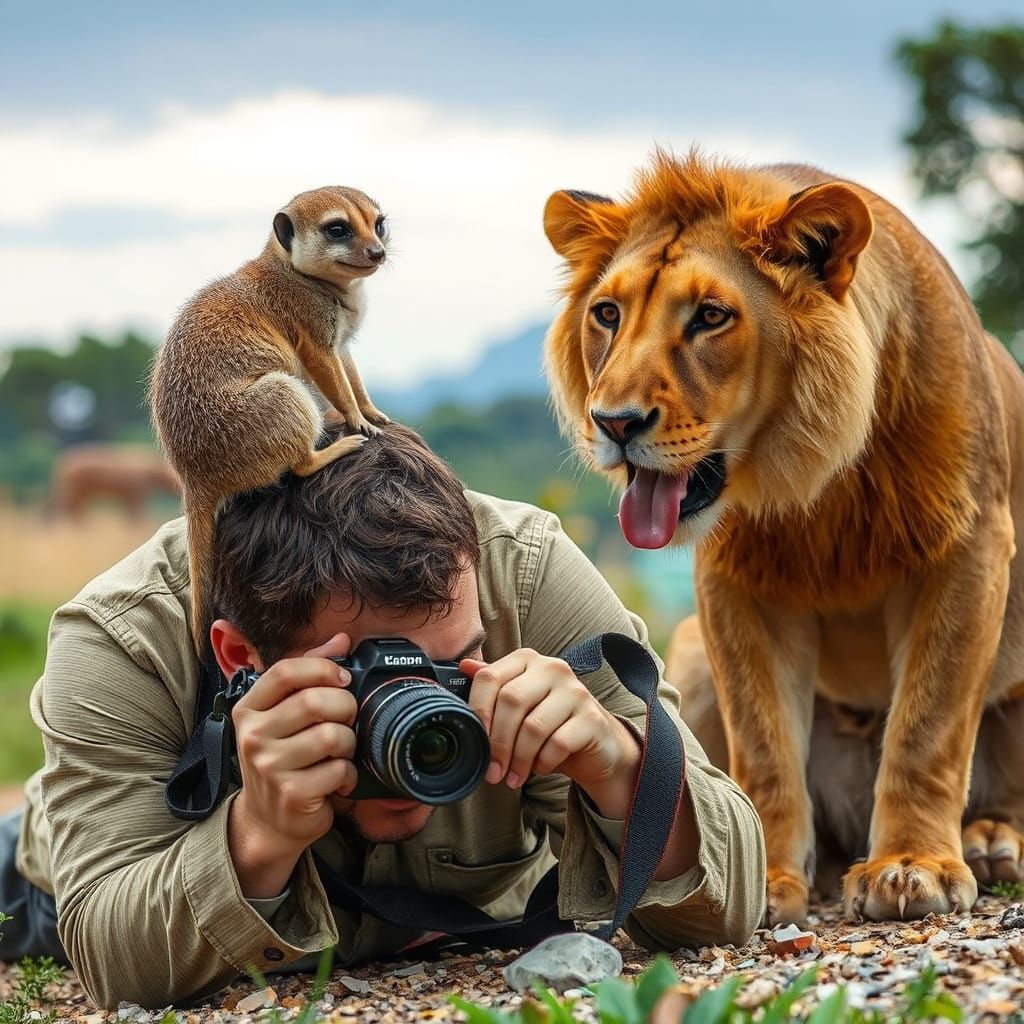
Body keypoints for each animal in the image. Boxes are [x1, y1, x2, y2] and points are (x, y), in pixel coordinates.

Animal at [542, 150, 1024, 925]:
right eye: (607, 314)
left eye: (710, 317)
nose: (613, 422)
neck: (809, 482)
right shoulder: (738, 585)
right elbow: (764, 746)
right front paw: (762, 879)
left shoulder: (969, 547)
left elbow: (927, 729)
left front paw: (912, 865)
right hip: (687, 654)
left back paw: (989, 841)